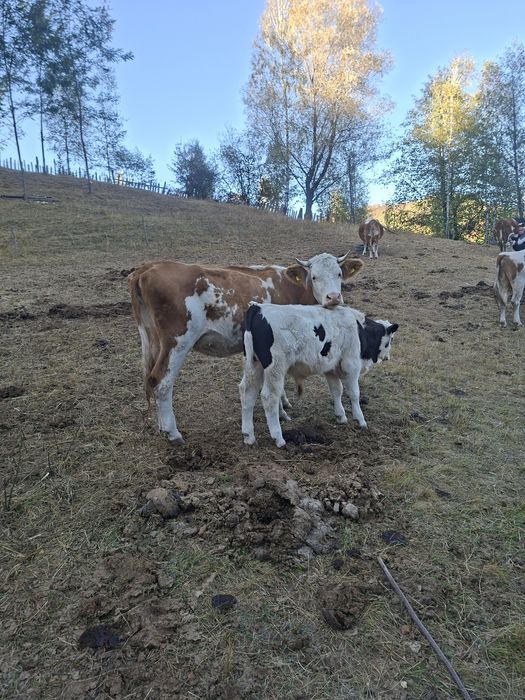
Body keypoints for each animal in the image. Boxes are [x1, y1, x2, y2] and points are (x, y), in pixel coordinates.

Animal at [128, 253, 364, 444]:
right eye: (314, 277)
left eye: (339, 274)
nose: (333, 298)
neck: (291, 288)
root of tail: (147, 267)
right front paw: (281, 413)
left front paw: (283, 405)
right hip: (178, 342)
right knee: (162, 383)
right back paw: (173, 432)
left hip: (154, 341)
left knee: (151, 379)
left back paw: (162, 426)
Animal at [240, 303, 398, 447]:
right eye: (390, 340)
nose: (388, 357)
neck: (359, 329)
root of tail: (258, 308)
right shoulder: (351, 366)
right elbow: (354, 394)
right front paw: (360, 420)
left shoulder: (331, 368)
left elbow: (337, 391)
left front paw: (341, 415)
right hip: (275, 368)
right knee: (269, 397)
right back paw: (278, 437)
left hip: (253, 365)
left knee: (247, 393)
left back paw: (248, 435)